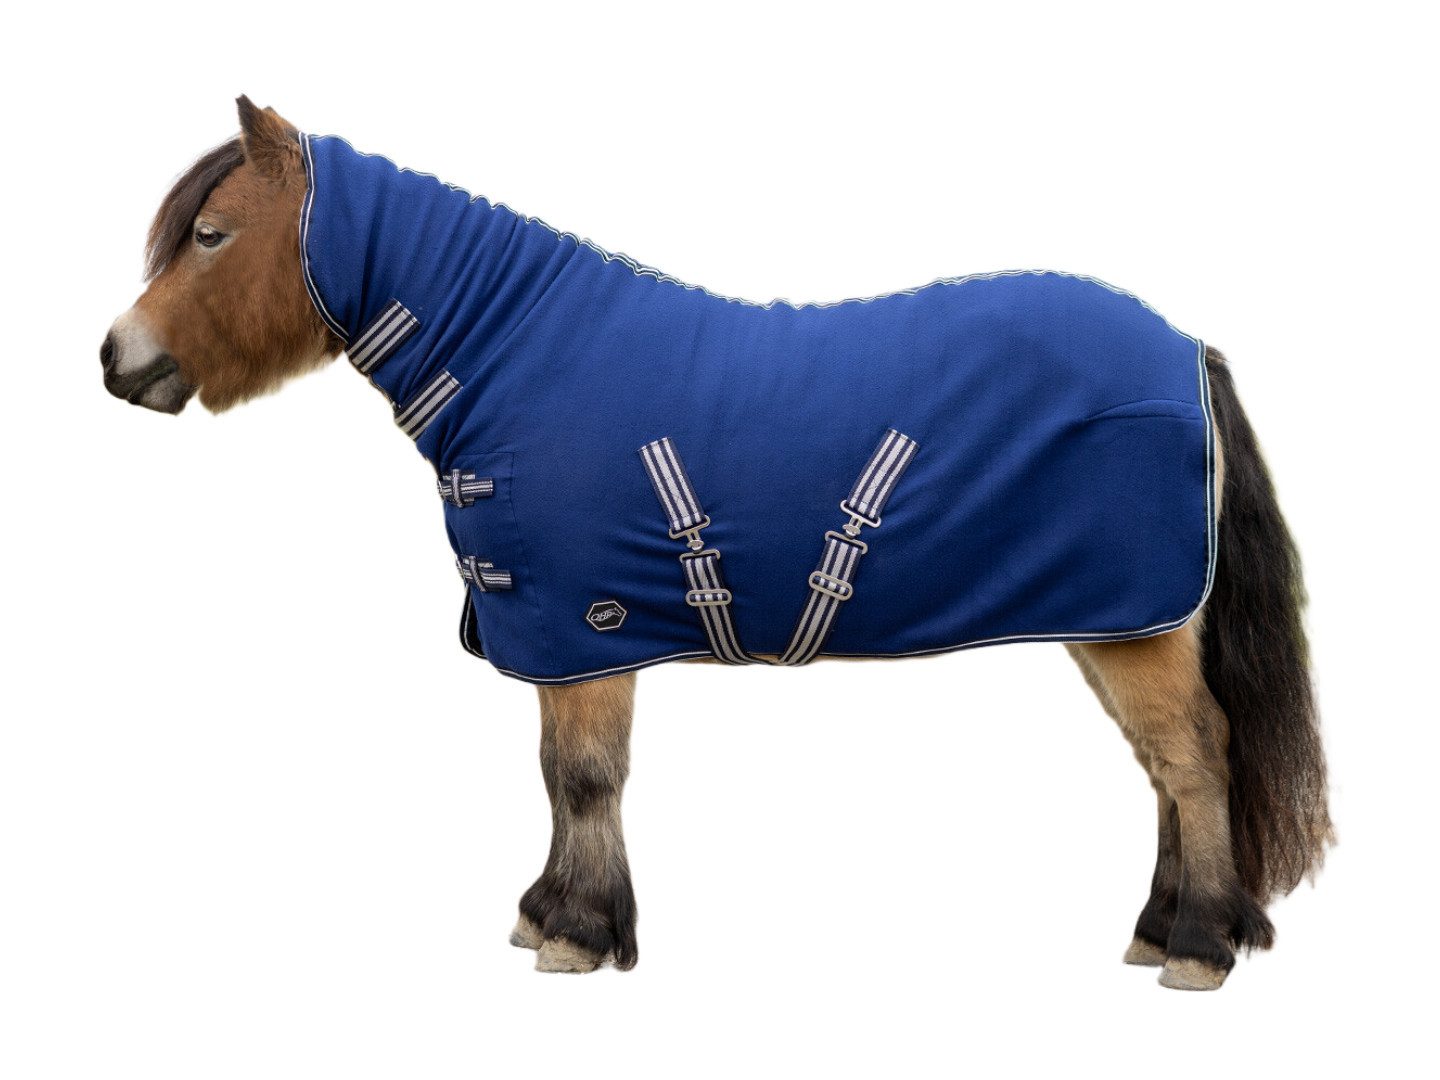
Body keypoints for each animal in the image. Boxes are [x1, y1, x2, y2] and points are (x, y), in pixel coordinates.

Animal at [99, 96, 1330, 989]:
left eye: (210, 235)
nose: (117, 358)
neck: (518, 356)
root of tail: (1186, 349)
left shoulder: (584, 628)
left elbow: (582, 775)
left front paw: (579, 933)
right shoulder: (561, 635)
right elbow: (558, 776)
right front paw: (551, 913)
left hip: (1136, 623)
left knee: (1195, 756)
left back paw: (1197, 948)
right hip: (1116, 621)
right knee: (1164, 767)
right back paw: (1163, 926)